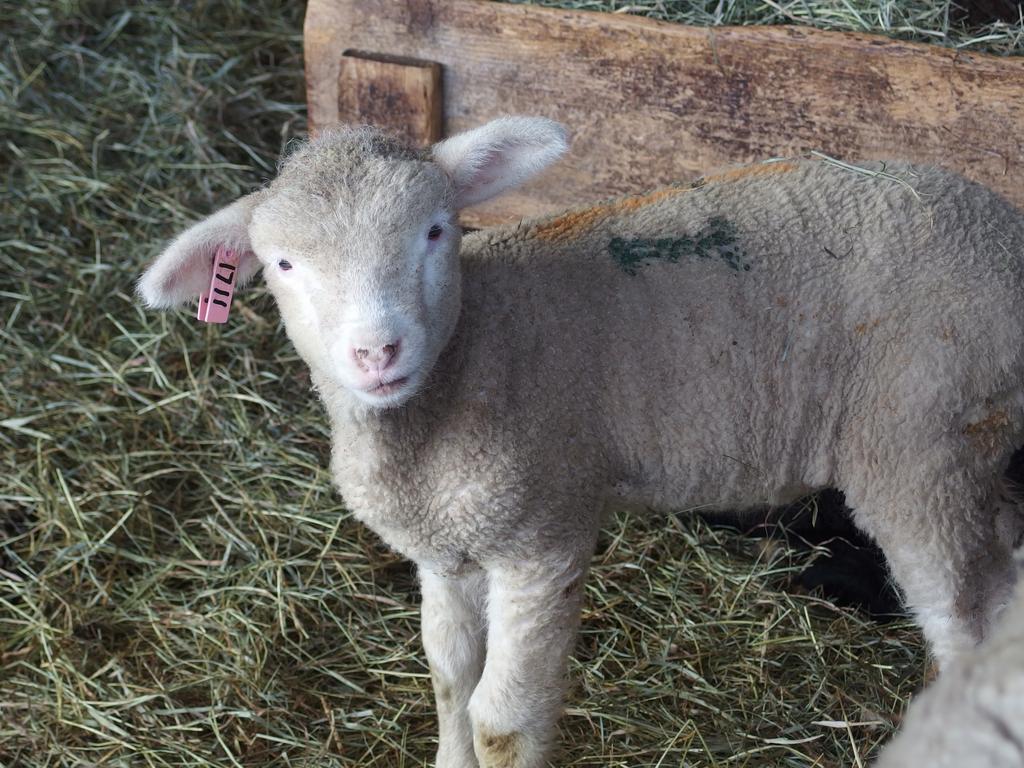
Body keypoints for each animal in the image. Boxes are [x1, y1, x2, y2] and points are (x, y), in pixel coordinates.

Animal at [140, 115, 1024, 768]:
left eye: (435, 231)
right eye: (284, 264)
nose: (376, 352)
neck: (475, 354)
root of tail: (1006, 232)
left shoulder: (542, 535)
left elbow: (502, 718)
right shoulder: (447, 546)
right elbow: (448, 678)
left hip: (919, 443)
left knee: (967, 620)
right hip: (968, 445)